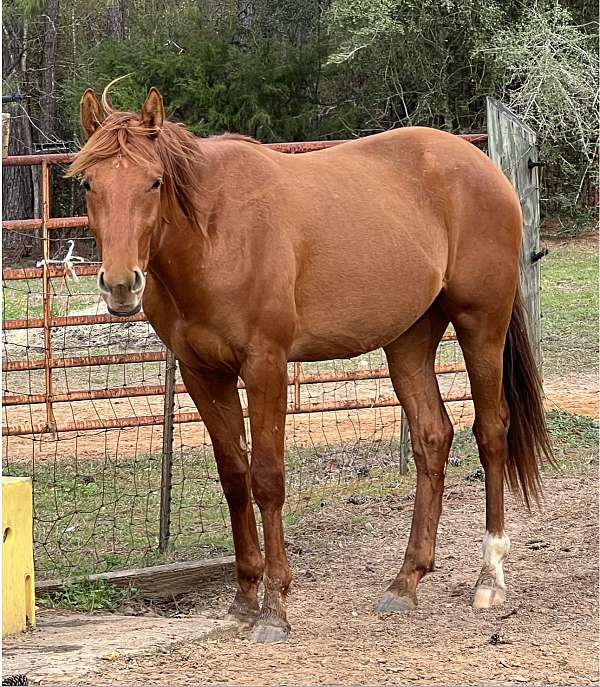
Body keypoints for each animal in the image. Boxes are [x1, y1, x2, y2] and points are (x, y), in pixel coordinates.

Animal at [68, 86, 552, 644]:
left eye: (154, 181)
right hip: (409, 340)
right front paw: (242, 601)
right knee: (433, 437)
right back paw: (405, 581)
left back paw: (489, 577)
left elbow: (267, 479)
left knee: (492, 433)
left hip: (480, 324)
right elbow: (234, 479)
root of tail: (484, 167)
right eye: (89, 182)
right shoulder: (201, 374)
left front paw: (274, 610)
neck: (216, 234)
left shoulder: (265, 366)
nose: (120, 285)